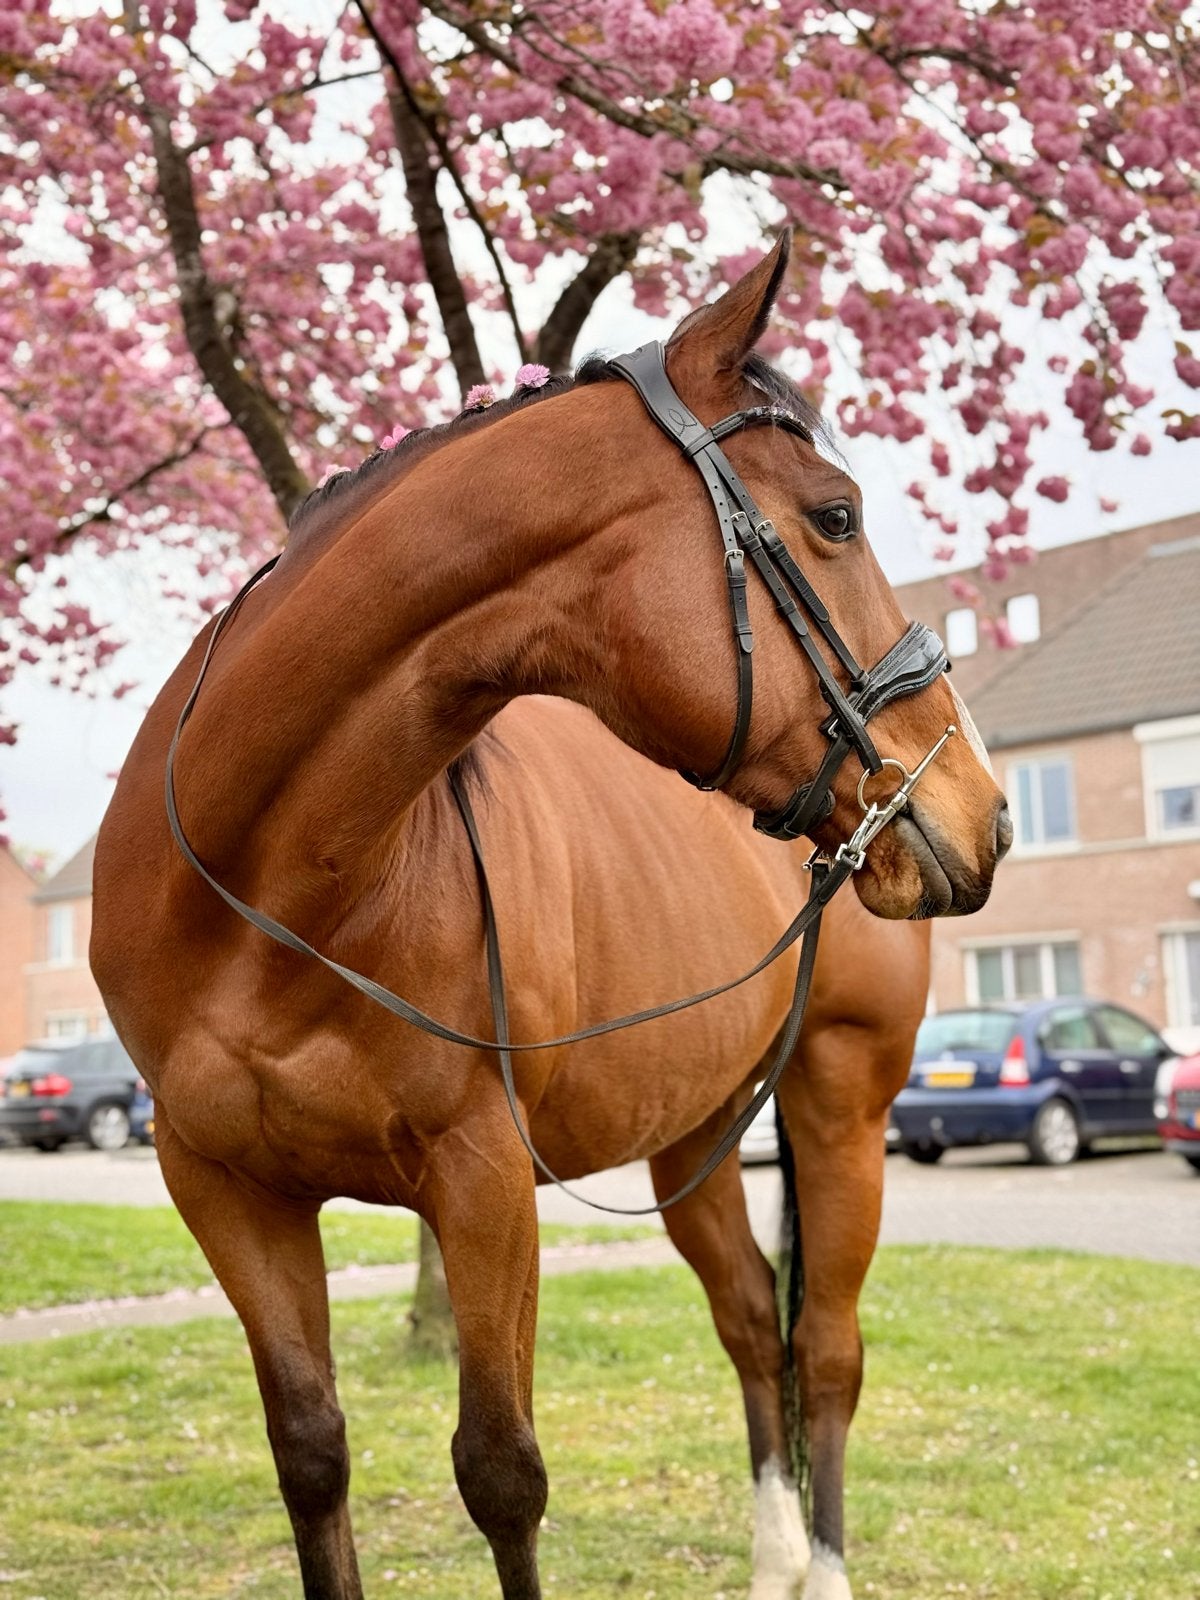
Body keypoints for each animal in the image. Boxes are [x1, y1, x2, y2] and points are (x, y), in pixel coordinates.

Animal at [91, 235, 1009, 1600]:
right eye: (836, 515)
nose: (979, 804)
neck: (266, 892)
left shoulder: (482, 1181)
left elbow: (501, 1472)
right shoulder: (224, 1187)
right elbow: (310, 1453)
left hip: (843, 1101)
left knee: (829, 1348)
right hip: (696, 1130)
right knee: (753, 1321)